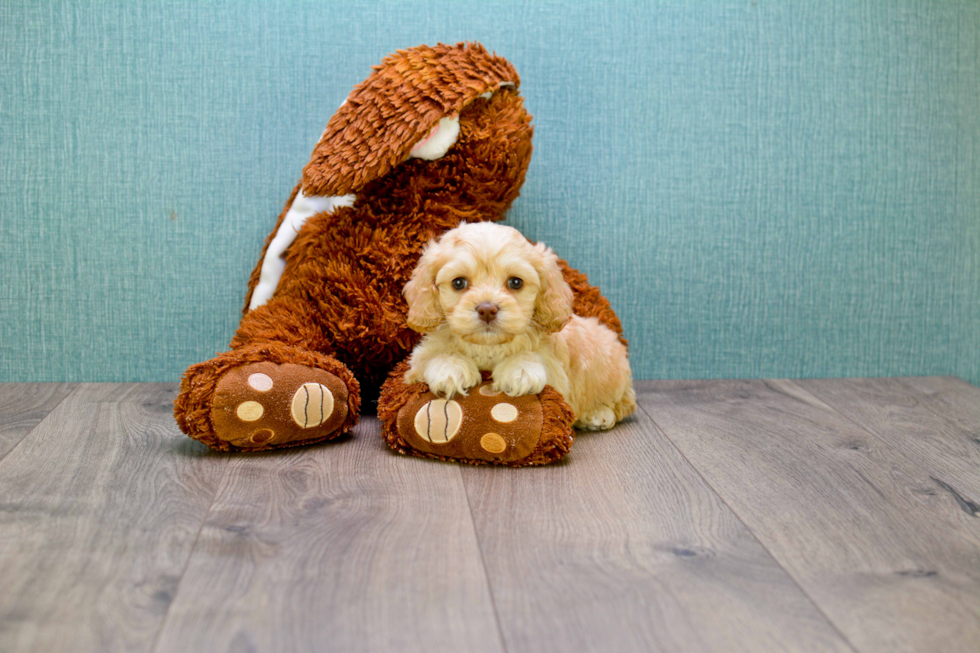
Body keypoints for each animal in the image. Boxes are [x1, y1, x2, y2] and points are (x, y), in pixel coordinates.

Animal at [400, 222, 636, 430]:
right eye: (458, 283)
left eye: (515, 282)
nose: (487, 309)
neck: (487, 346)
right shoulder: (417, 364)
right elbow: (437, 354)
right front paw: (450, 368)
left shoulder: (558, 377)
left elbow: (535, 357)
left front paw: (521, 369)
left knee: (623, 404)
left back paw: (597, 414)